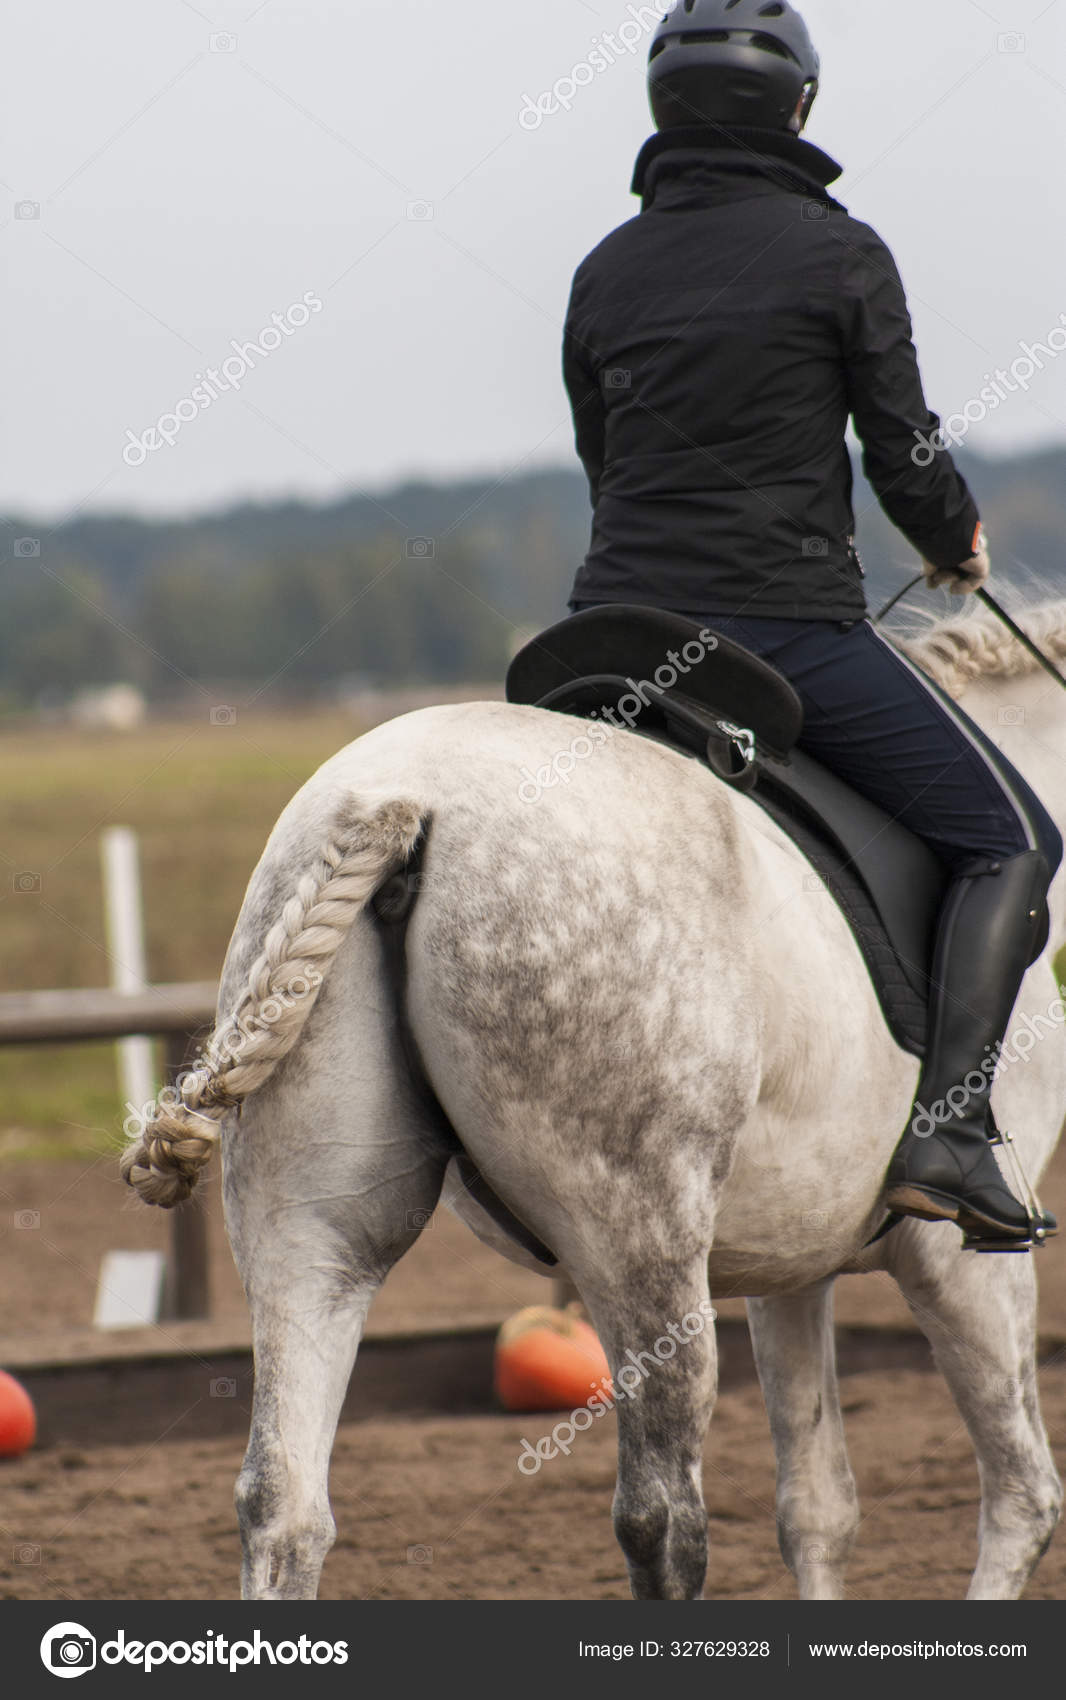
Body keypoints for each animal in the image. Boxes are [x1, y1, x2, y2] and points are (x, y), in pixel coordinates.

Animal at [122, 598, 1066, 1603]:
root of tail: (404, 797)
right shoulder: (960, 1259)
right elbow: (1023, 1500)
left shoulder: (792, 1265)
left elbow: (818, 1511)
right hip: (639, 1245)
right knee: (661, 1517)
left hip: (310, 1233)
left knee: (282, 1503)